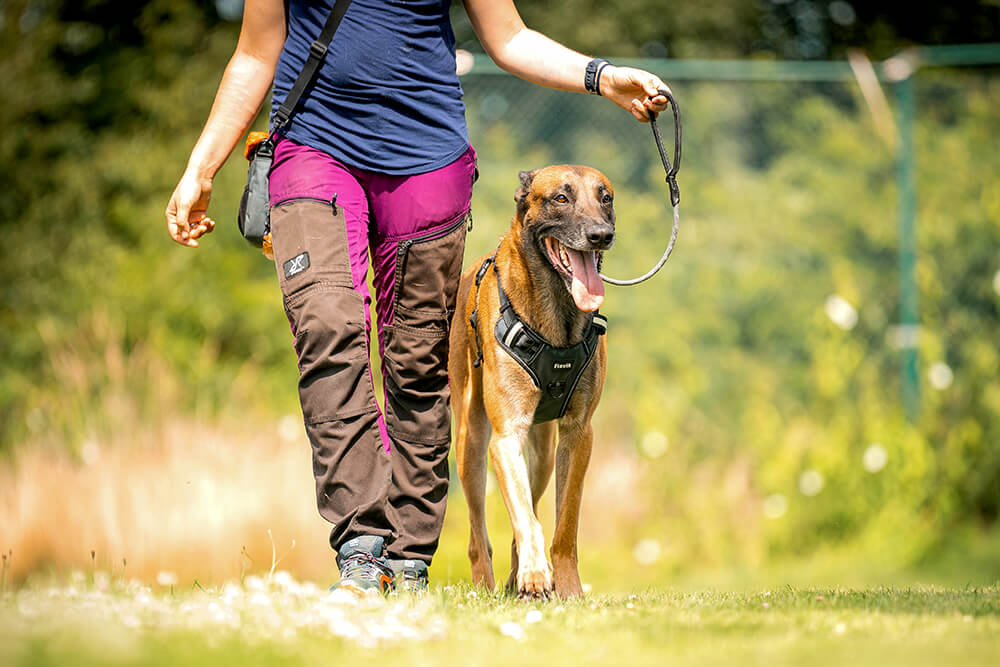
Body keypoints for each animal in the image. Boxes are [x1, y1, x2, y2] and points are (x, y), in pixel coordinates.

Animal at [450, 164, 612, 596]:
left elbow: (563, 526)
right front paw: (537, 574)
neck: (558, 319)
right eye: (561, 198)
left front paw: (567, 586)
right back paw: (488, 586)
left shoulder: (578, 435)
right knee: (478, 536)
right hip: (471, 446)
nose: (601, 235)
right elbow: (526, 517)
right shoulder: (506, 438)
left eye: (605, 197)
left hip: (541, 456)